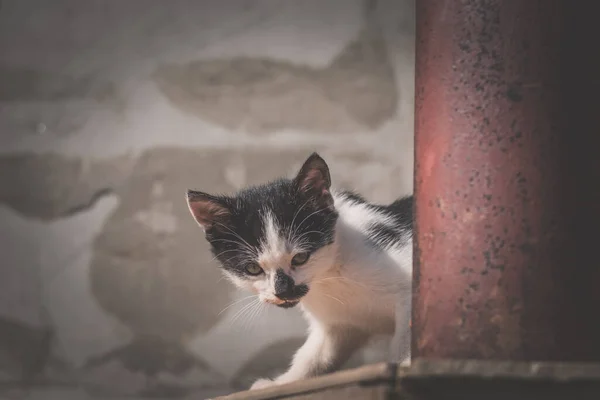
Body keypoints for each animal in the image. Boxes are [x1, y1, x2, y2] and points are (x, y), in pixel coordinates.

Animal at [188, 153, 412, 390]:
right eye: (253, 268)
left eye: (300, 258)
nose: (283, 291)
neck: (330, 274)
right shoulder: (338, 324)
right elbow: (314, 355)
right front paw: (281, 382)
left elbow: (408, 334)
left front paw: (404, 364)